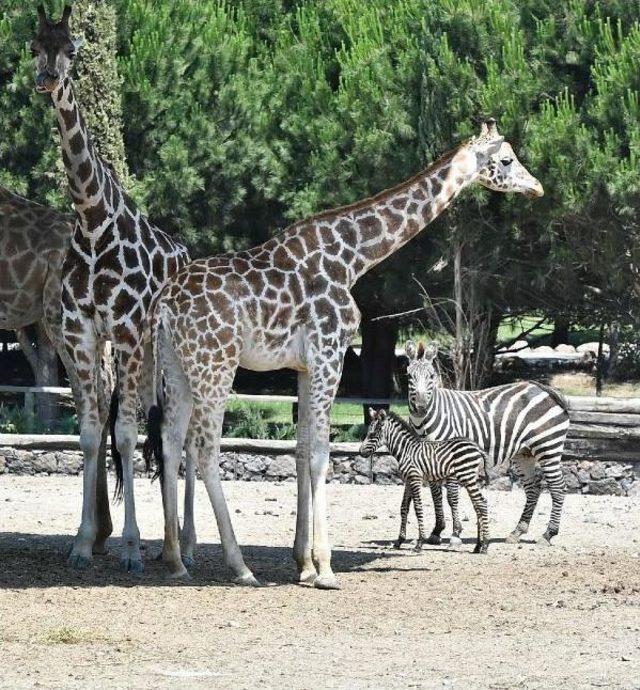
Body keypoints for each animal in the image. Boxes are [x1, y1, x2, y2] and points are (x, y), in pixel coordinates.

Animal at [31, 6, 190, 568]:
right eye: (34, 46)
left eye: (73, 48)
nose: (47, 79)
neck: (93, 218)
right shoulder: (82, 331)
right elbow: (90, 431)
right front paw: (82, 543)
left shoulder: (124, 329)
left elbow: (124, 433)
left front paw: (132, 547)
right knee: (163, 427)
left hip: (165, 350)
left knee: (177, 431)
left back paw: (184, 543)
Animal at [360, 408, 490, 552]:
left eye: (372, 434)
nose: (360, 452)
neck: (406, 451)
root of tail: (477, 447)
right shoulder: (408, 481)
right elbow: (404, 508)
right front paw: (399, 540)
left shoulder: (415, 479)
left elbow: (418, 508)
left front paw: (420, 542)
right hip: (472, 478)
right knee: (478, 505)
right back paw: (478, 546)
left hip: (467, 477)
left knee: (481, 503)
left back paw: (485, 545)